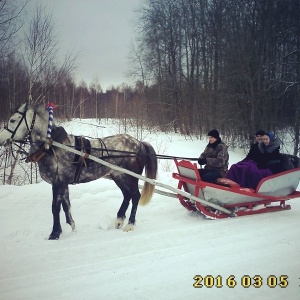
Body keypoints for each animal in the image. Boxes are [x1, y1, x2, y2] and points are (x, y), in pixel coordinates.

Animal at [0, 102, 158, 239]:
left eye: (13, 120)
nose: (1, 138)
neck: (53, 147)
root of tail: (139, 143)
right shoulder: (63, 183)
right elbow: (66, 207)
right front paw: (72, 229)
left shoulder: (57, 183)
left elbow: (55, 208)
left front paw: (55, 233)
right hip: (119, 176)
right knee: (127, 195)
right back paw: (119, 220)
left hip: (131, 177)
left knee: (135, 196)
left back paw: (130, 225)